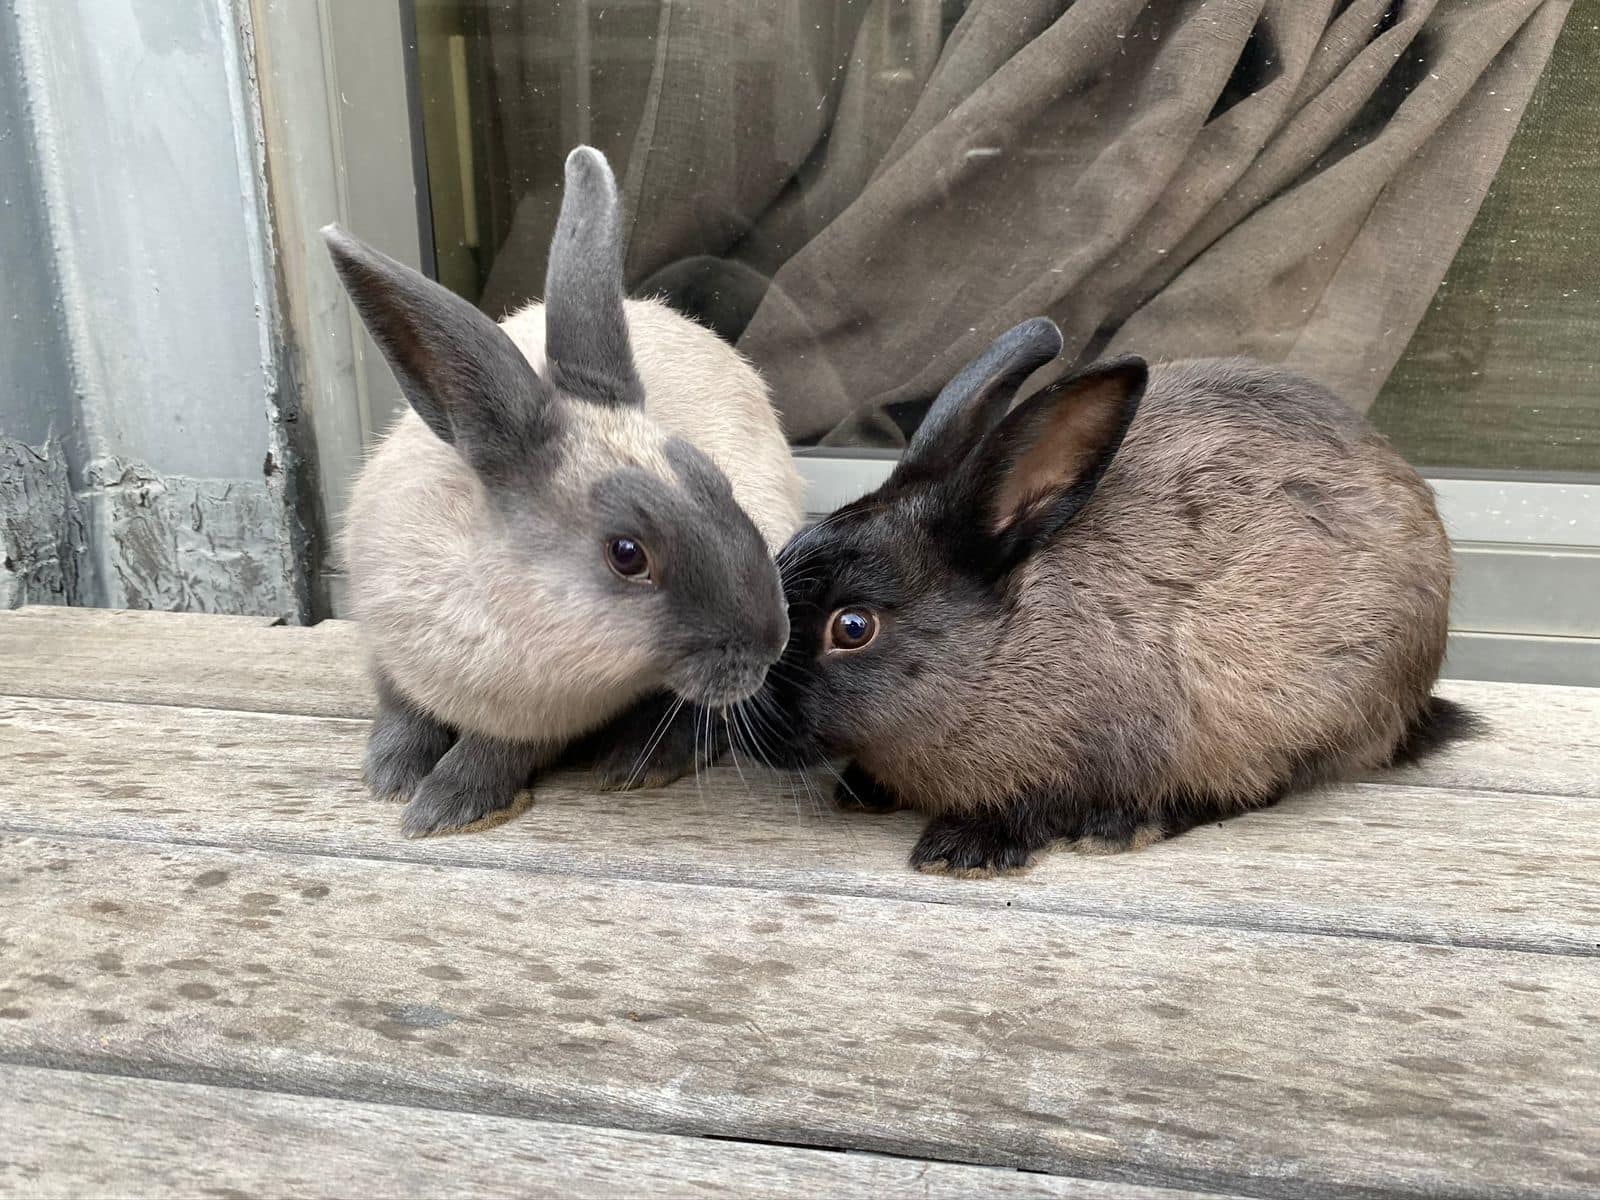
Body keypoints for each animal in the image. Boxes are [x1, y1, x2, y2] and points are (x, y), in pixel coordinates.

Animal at [325, 146, 805, 838]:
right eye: (627, 554)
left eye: (717, 482)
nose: (774, 640)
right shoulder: (389, 654)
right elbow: (400, 710)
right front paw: (390, 775)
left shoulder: (540, 715)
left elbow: (494, 750)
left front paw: (445, 805)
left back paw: (637, 761)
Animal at [736, 317, 1470, 875]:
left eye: (853, 627)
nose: (747, 716)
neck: (999, 651)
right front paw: (863, 791)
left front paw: (964, 850)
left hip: (1301, 715)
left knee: (1260, 786)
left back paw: (1119, 829)